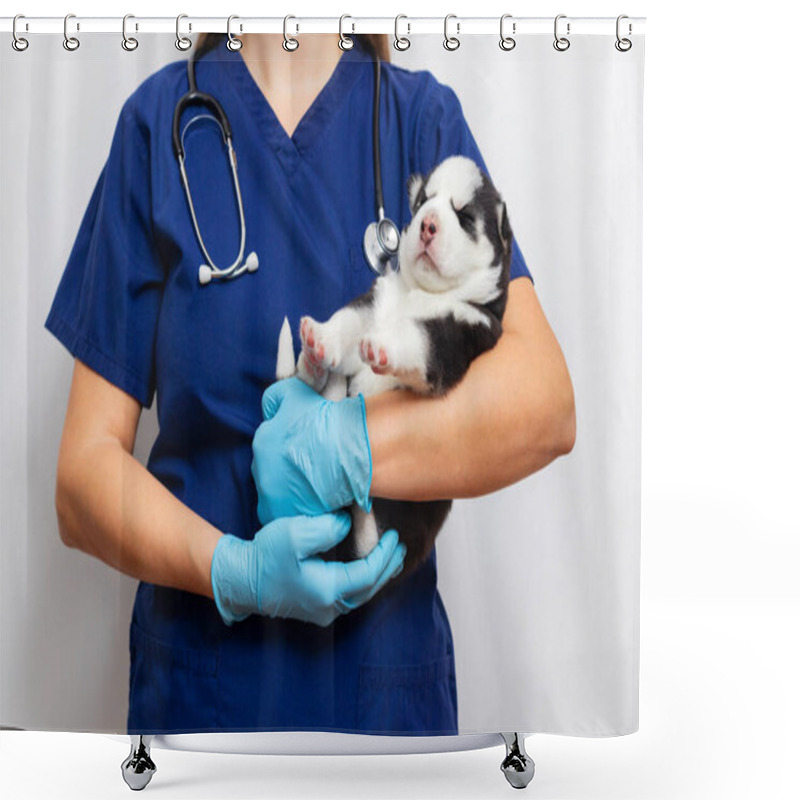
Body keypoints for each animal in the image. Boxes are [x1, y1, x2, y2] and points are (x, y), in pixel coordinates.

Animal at [276, 155, 512, 576]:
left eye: (464, 216)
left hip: (375, 535)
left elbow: (413, 338)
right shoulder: (375, 301)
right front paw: (323, 338)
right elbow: (348, 322)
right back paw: (312, 361)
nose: (428, 224)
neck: (423, 294)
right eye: (422, 202)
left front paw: (383, 345)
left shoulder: (453, 337)